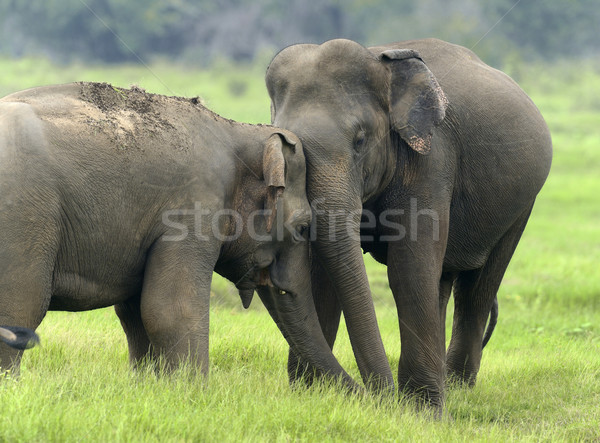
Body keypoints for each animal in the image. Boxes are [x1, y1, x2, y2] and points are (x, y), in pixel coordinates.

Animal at [0, 80, 356, 392]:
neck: (237, 130)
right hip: (25, 214)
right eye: (303, 227)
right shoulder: (193, 210)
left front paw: (149, 389)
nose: (365, 393)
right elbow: (169, 308)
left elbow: (135, 312)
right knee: (21, 306)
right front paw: (194, 394)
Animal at [268, 38, 552, 412]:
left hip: (522, 203)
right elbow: (320, 274)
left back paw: (458, 387)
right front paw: (311, 396)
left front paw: (422, 411)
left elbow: (409, 270)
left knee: (478, 288)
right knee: (443, 282)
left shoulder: (432, 158)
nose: (380, 397)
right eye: (288, 147)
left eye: (360, 140)